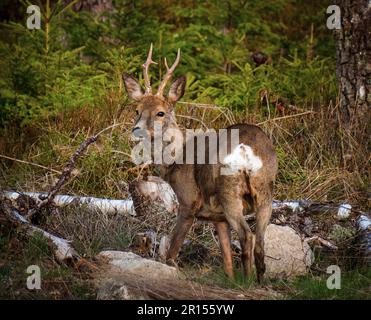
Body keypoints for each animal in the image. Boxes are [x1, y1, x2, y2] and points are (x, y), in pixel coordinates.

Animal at [125, 44, 280, 282]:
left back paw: (247, 282)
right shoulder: (218, 217)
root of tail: (246, 148)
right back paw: (259, 282)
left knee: (247, 236)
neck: (176, 161)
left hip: (229, 189)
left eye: (160, 112)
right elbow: (226, 258)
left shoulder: (188, 200)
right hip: (265, 189)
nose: (137, 129)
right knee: (261, 242)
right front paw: (230, 280)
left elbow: (172, 250)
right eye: (137, 110)